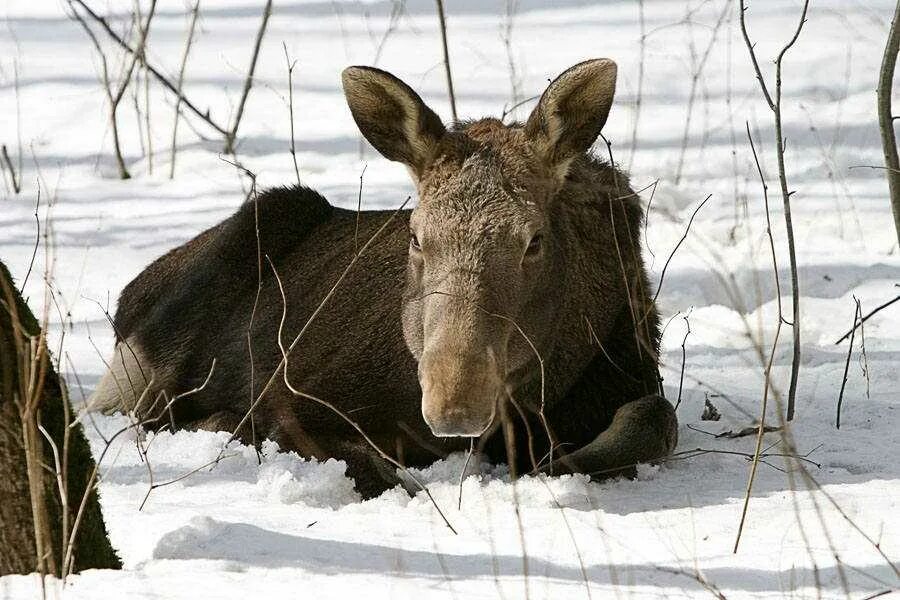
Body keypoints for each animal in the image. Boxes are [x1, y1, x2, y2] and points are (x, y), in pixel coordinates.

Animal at [95, 59, 680, 496]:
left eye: (533, 240)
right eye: (416, 236)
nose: (454, 401)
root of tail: (130, 295)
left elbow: (655, 419)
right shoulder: (294, 392)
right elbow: (373, 472)